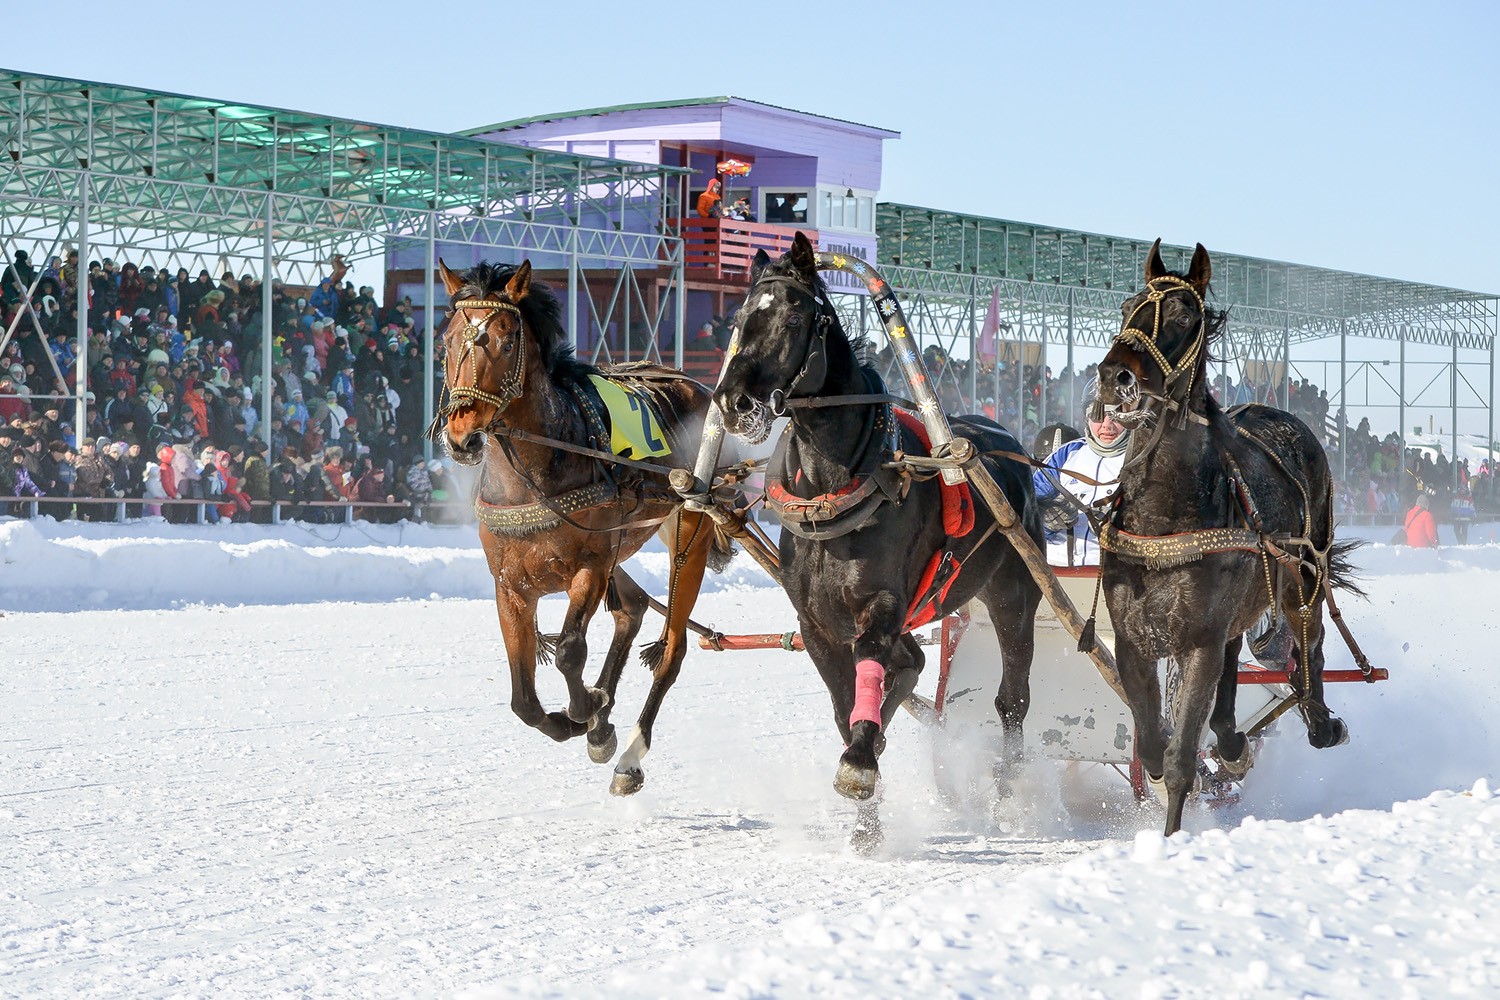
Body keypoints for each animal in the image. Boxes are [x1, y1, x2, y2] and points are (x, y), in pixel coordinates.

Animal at [435, 260, 732, 797]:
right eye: (447, 339)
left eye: (506, 339)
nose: (462, 436)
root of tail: (696, 386)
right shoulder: (509, 585)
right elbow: (523, 700)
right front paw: (585, 719)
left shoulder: (590, 565)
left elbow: (572, 650)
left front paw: (588, 708)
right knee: (632, 607)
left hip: (690, 527)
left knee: (672, 647)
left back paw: (630, 755)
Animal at [714, 235, 1044, 845]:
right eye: (741, 318)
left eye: (793, 316)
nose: (733, 403)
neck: (834, 491)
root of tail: (1010, 447)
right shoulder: (816, 625)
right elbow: (846, 705)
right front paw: (868, 811)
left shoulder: (881, 604)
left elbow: (870, 664)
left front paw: (861, 764)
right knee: (911, 661)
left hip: (1013, 596)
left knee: (1012, 699)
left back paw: (1008, 795)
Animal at [1092, 242, 1362, 839]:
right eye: (1126, 305)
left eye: (1183, 317)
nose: (1114, 378)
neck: (1164, 519)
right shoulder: (1131, 642)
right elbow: (1152, 745)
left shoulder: (1198, 643)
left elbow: (1177, 758)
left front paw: (1172, 838)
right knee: (1235, 665)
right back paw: (1234, 741)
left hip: (1303, 573)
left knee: (1309, 641)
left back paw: (1317, 717)